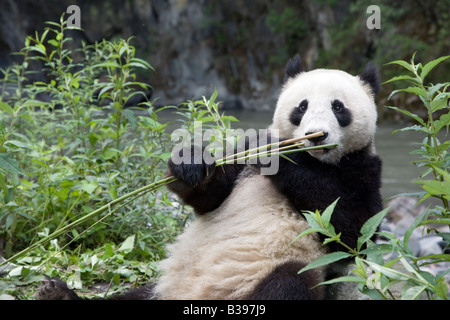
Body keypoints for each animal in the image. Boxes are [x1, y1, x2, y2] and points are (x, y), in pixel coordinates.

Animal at [37, 55, 382, 300]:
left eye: (338, 108)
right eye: (302, 107)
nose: (316, 135)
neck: (316, 160)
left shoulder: (362, 169)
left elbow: (351, 228)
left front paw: (278, 155)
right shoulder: (241, 162)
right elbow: (211, 196)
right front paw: (190, 162)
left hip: (277, 267)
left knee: (286, 285)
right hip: (159, 287)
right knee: (131, 297)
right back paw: (57, 293)